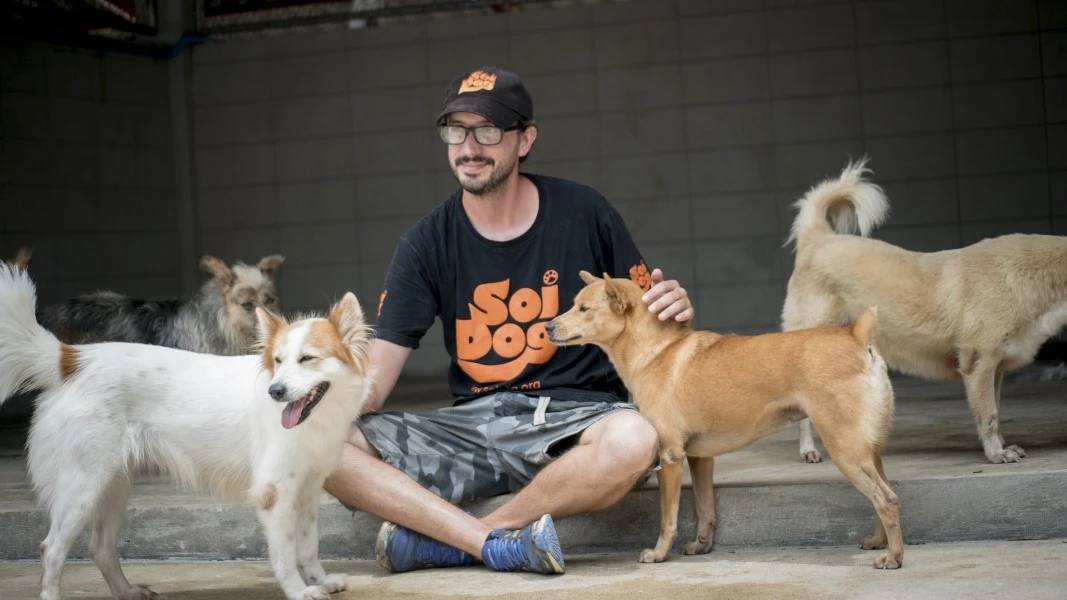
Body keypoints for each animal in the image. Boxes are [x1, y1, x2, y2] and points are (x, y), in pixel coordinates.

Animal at [0, 262, 371, 597]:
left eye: (307, 359)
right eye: (278, 361)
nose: (275, 391)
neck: (316, 417)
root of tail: (72, 359)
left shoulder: (308, 489)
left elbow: (308, 546)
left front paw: (320, 580)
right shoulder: (274, 494)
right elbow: (285, 555)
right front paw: (298, 590)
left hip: (113, 485)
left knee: (100, 548)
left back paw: (127, 591)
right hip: (82, 487)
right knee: (52, 550)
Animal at [546, 273, 904, 567]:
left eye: (583, 308)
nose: (548, 327)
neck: (655, 350)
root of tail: (857, 336)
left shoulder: (670, 456)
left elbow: (668, 517)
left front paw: (659, 553)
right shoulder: (700, 457)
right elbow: (705, 508)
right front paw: (701, 546)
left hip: (845, 449)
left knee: (886, 500)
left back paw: (894, 557)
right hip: (867, 450)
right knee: (887, 493)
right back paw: (878, 542)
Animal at [785, 161, 1067, 465]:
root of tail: (818, 238)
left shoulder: (997, 368)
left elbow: (997, 410)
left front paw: (1002, 445)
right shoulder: (979, 364)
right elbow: (989, 414)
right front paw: (996, 453)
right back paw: (809, 450)